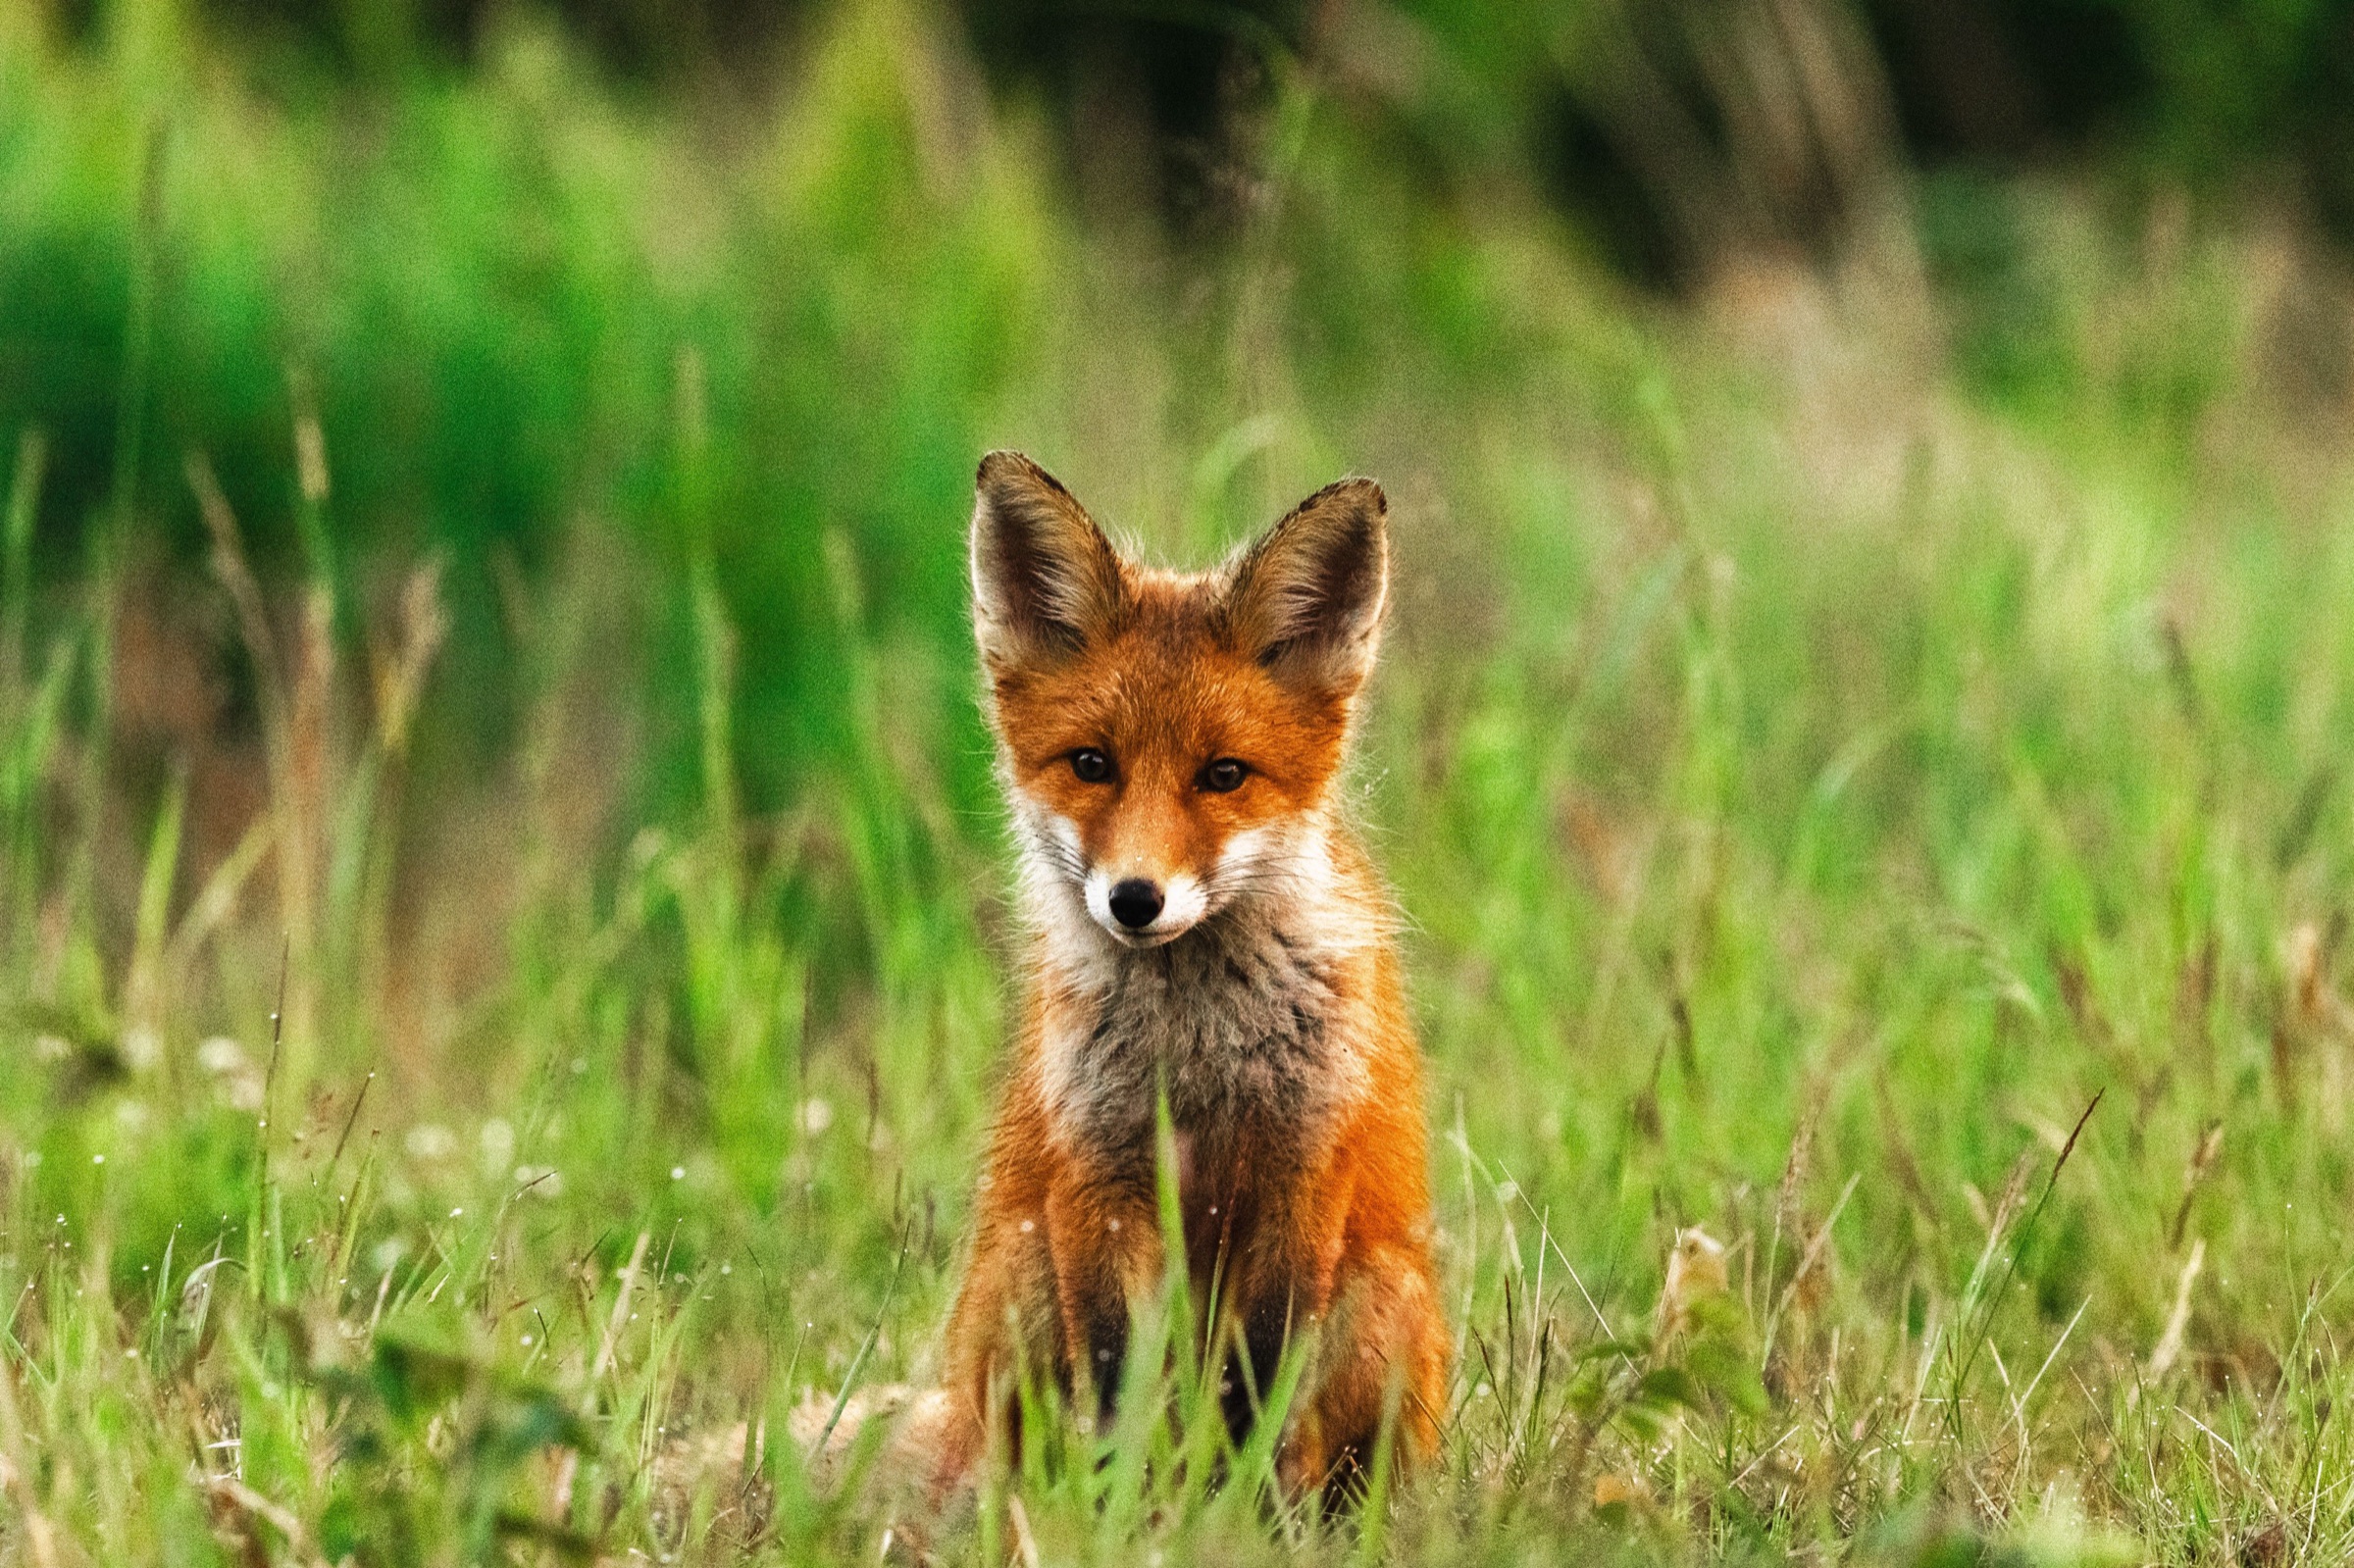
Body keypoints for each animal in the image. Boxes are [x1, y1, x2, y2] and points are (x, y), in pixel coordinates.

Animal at [908, 450, 1450, 1502]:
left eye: (1223, 775)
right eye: (1092, 764)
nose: (1135, 899)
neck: (1196, 1053)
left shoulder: (1300, 1173)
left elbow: (1258, 1383)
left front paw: (1240, 1514)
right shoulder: (1100, 1180)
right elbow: (1121, 1384)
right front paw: (1128, 1512)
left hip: (1382, 1294)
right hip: (1021, 1275)